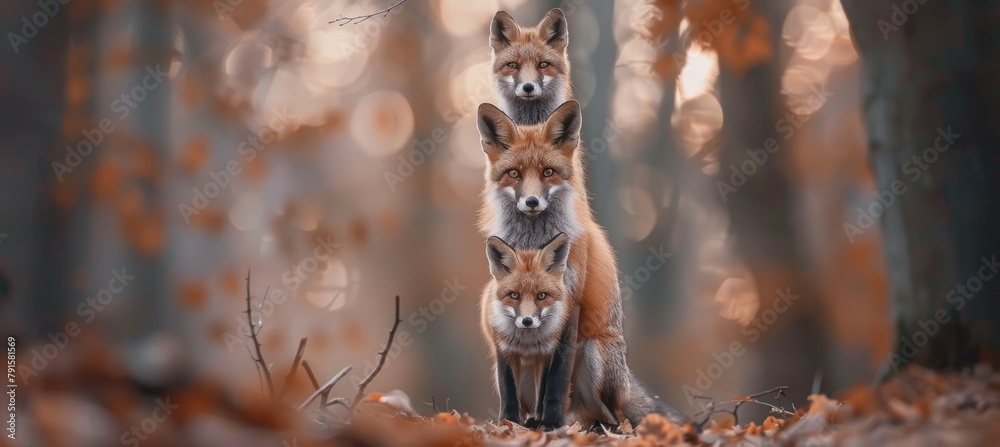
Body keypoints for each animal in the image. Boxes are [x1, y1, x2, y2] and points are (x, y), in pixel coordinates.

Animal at [476, 100, 687, 429]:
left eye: (548, 172)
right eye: (514, 173)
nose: (532, 202)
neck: (533, 241)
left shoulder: (570, 299)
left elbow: (557, 376)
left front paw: (550, 421)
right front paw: (514, 423)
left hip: (593, 355)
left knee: (613, 416)